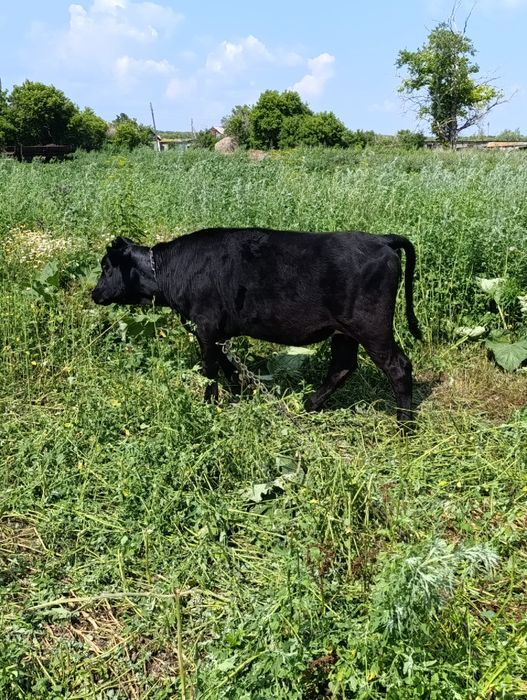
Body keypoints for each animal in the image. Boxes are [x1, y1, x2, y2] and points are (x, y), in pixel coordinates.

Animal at [92, 228, 421, 428]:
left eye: (106, 267)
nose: (94, 293)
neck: (172, 271)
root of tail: (382, 239)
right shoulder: (217, 332)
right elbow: (226, 364)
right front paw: (239, 391)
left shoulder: (205, 326)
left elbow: (209, 369)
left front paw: (209, 404)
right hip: (345, 332)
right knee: (342, 367)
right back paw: (309, 405)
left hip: (372, 327)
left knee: (398, 367)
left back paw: (404, 425)